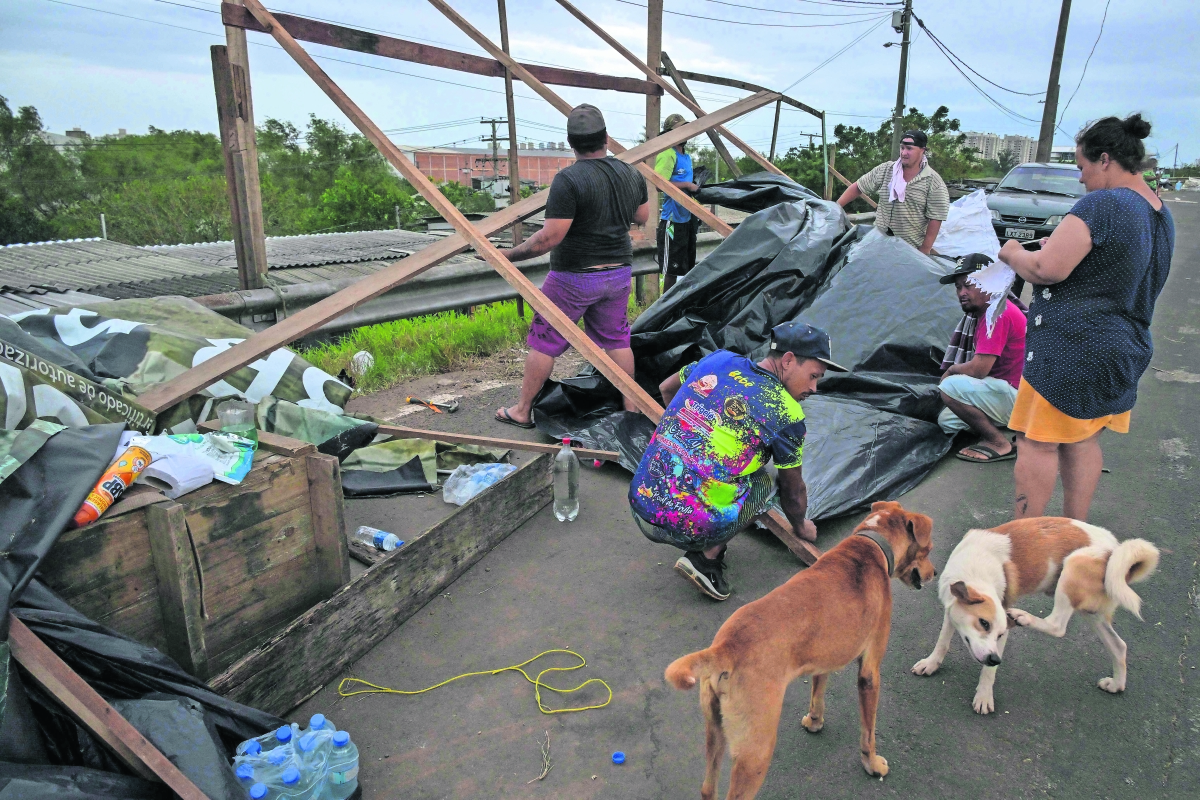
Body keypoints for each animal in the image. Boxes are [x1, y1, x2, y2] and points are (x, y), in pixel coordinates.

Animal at [662, 501, 931, 800]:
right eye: (928, 549)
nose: (934, 573)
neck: (871, 545)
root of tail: (725, 648)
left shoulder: (823, 660)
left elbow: (817, 693)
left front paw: (814, 722)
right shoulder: (869, 673)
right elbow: (868, 732)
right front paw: (872, 764)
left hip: (714, 733)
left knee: (708, 789)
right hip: (755, 753)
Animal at [912, 522, 1156, 714]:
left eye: (999, 633)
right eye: (983, 623)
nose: (994, 659)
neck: (975, 569)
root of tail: (1115, 549)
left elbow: (987, 673)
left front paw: (984, 696)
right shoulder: (950, 610)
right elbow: (942, 642)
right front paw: (931, 664)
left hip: (1074, 565)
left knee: (1057, 625)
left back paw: (1024, 617)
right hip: (1092, 613)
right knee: (1119, 646)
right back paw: (1116, 684)